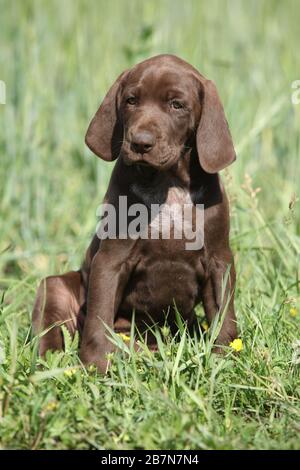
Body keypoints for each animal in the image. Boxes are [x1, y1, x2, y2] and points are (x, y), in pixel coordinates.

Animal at [32, 55, 237, 370]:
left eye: (176, 105)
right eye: (131, 100)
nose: (140, 142)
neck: (168, 181)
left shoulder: (218, 259)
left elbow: (224, 314)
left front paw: (223, 359)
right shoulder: (111, 259)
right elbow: (99, 316)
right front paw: (96, 364)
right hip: (55, 287)